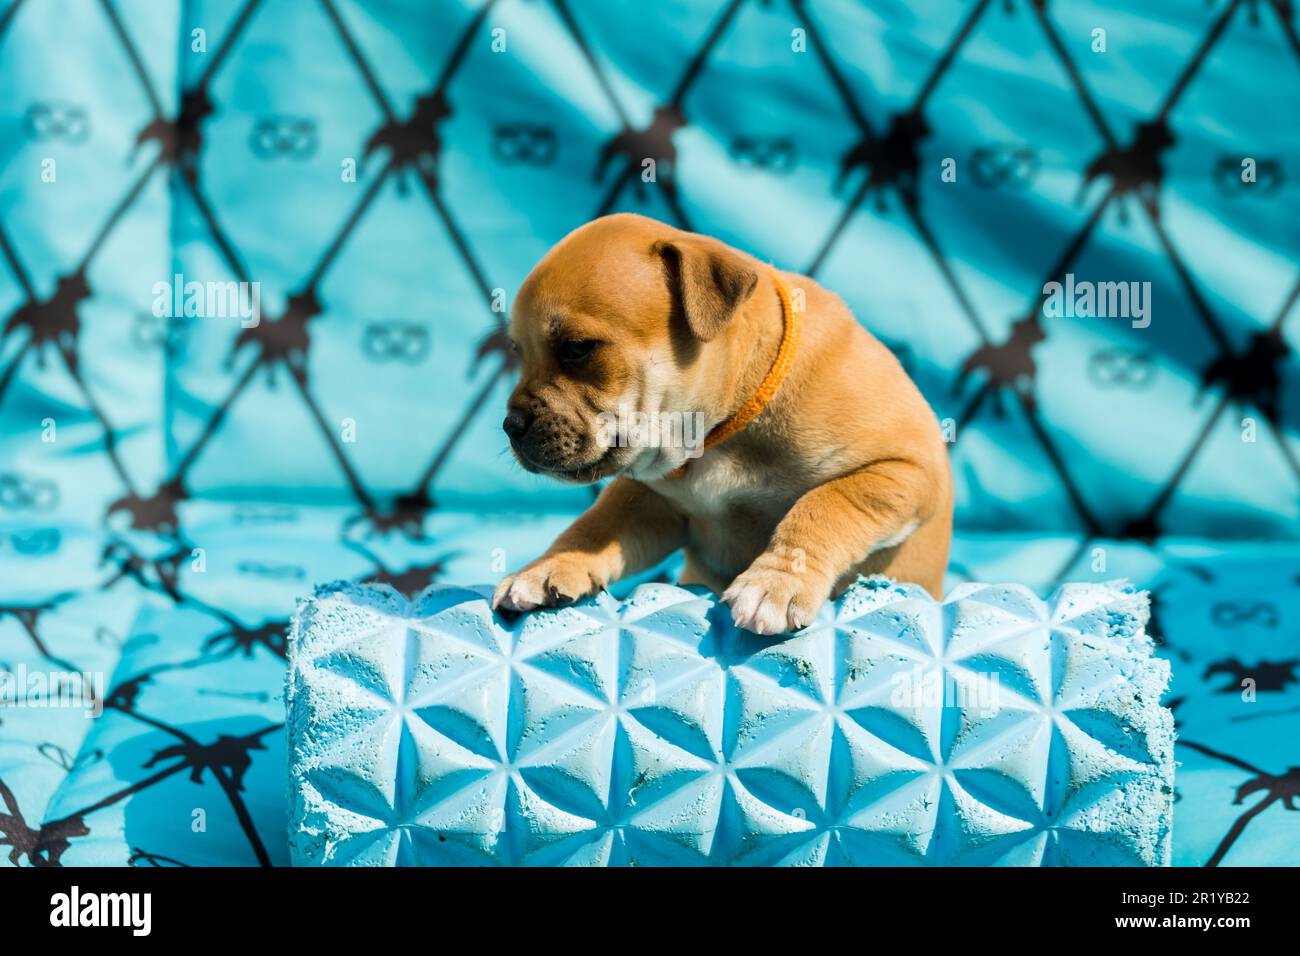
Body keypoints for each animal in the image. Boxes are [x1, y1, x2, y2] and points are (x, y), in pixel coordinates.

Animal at [491, 214, 951, 634]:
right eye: (517, 352)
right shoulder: (652, 501)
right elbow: (597, 523)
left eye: (577, 349)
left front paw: (775, 583)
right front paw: (547, 567)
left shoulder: (903, 469)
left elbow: (826, 504)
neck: (721, 431)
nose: (511, 425)